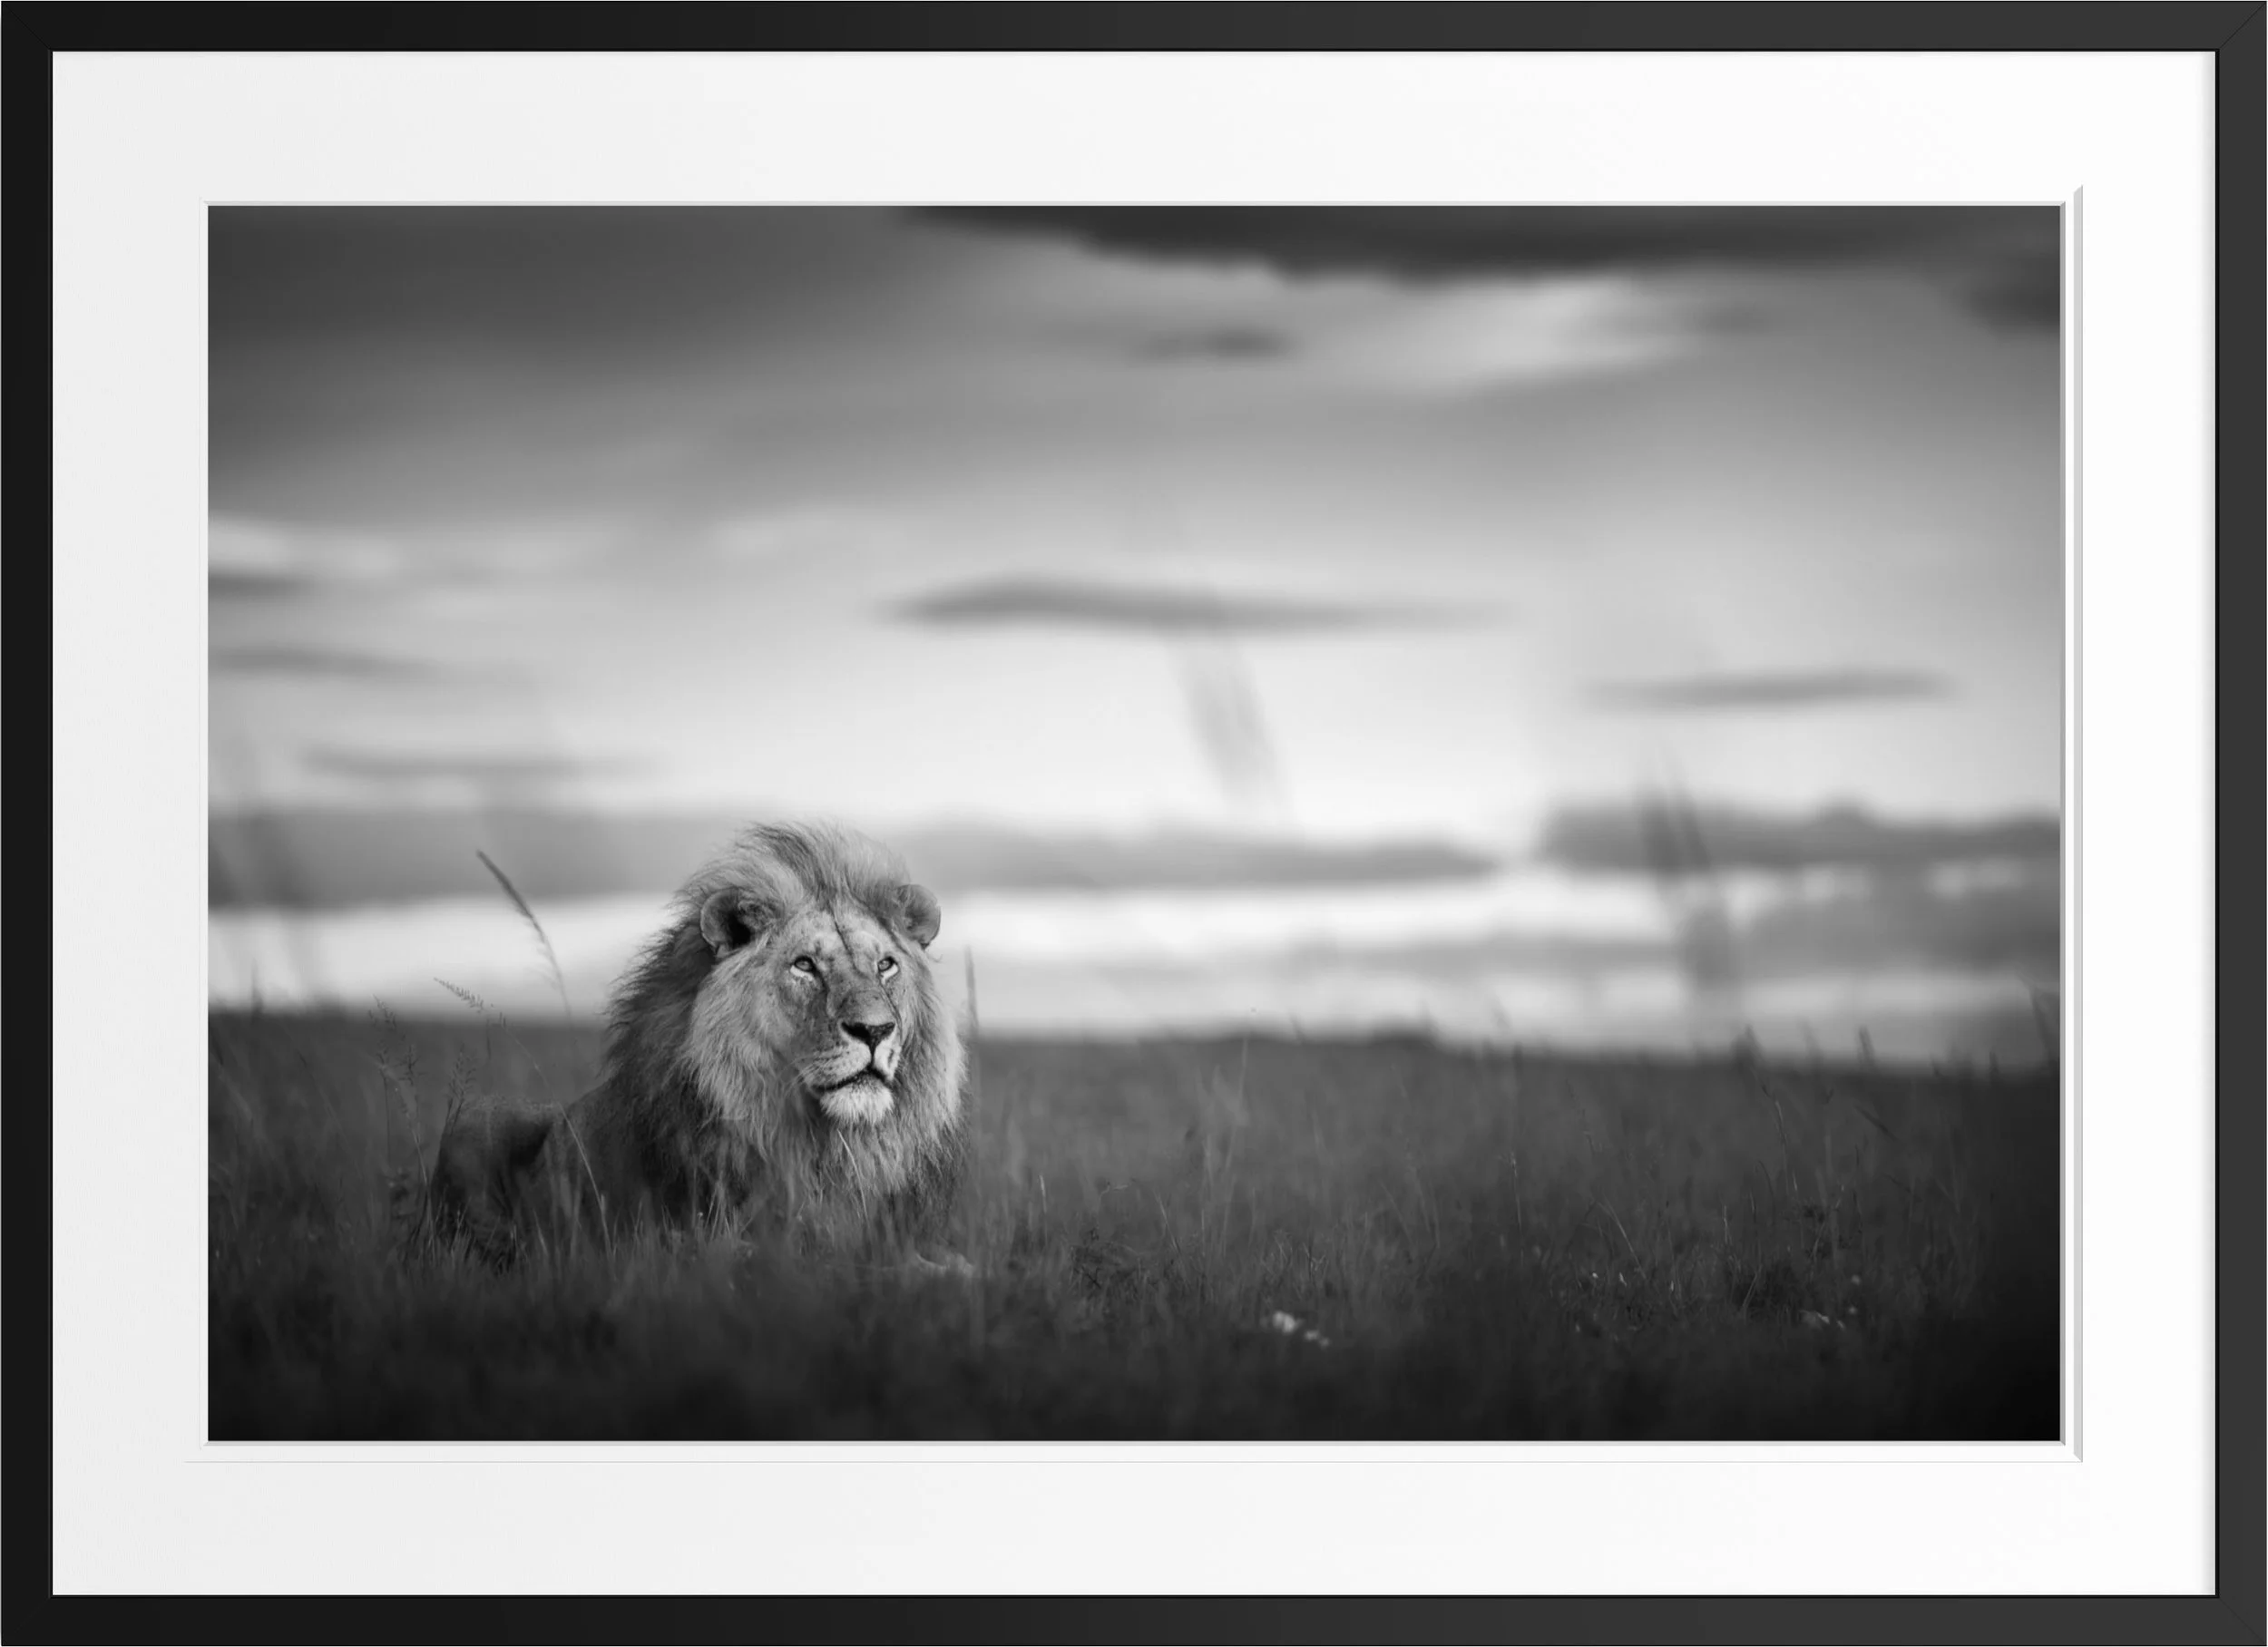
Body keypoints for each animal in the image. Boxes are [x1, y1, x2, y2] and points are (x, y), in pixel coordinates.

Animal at [427, 821, 970, 1271]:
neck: (826, 1145)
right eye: (805, 966)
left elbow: (950, 1266)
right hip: (475, 1117)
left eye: (885, 966)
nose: (875, 1031)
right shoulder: (689, 1240)